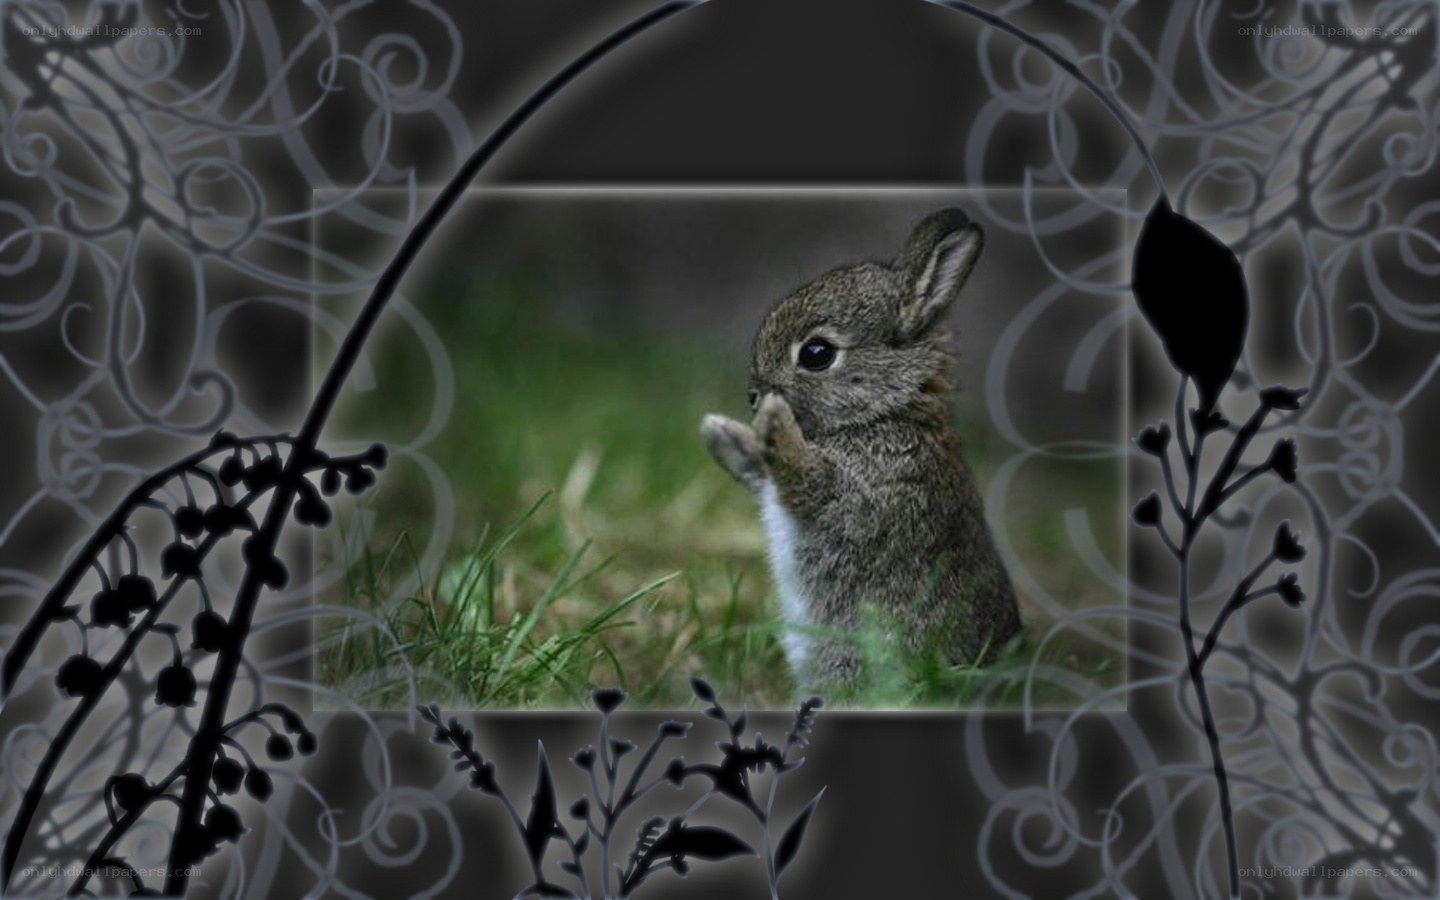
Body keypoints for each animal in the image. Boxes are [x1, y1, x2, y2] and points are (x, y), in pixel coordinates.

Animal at [700, 208, 1021, 688]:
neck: (882, 413)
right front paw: (721, 432)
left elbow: (808, 482)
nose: (754, 397)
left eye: (816, 353)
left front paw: (774, 421)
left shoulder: (863, 499)